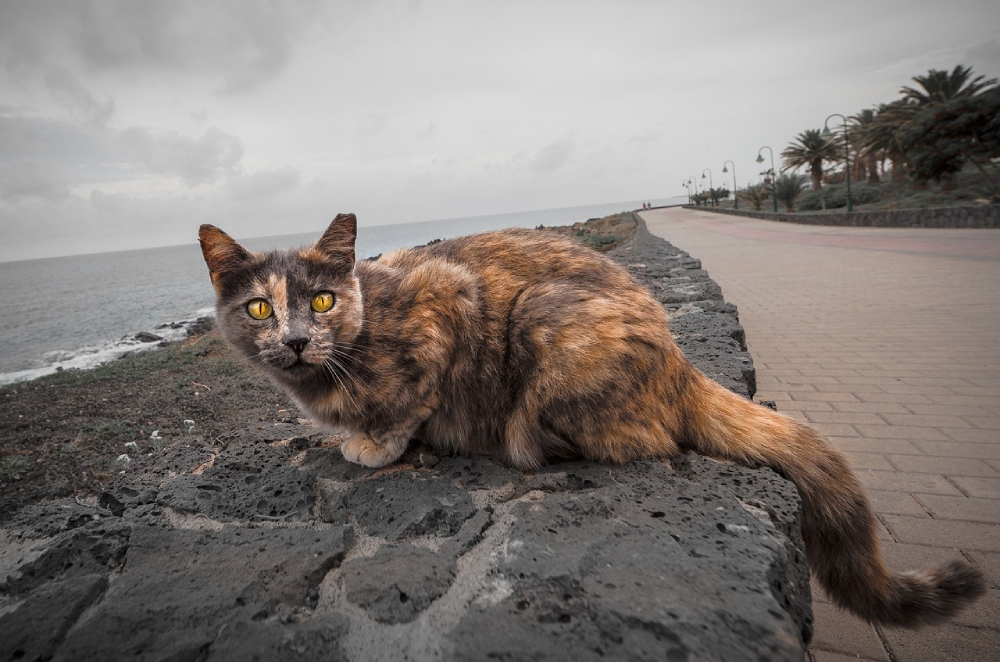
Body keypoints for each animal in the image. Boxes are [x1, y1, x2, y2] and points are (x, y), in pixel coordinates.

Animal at [201, 213, 984, 628]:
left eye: (323, 301)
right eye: (261, 308)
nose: (295, 340)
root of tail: (678, 359)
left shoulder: (446, 301)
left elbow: (407, 405)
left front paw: (373, 443)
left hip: (545, 319)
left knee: (641, 439)